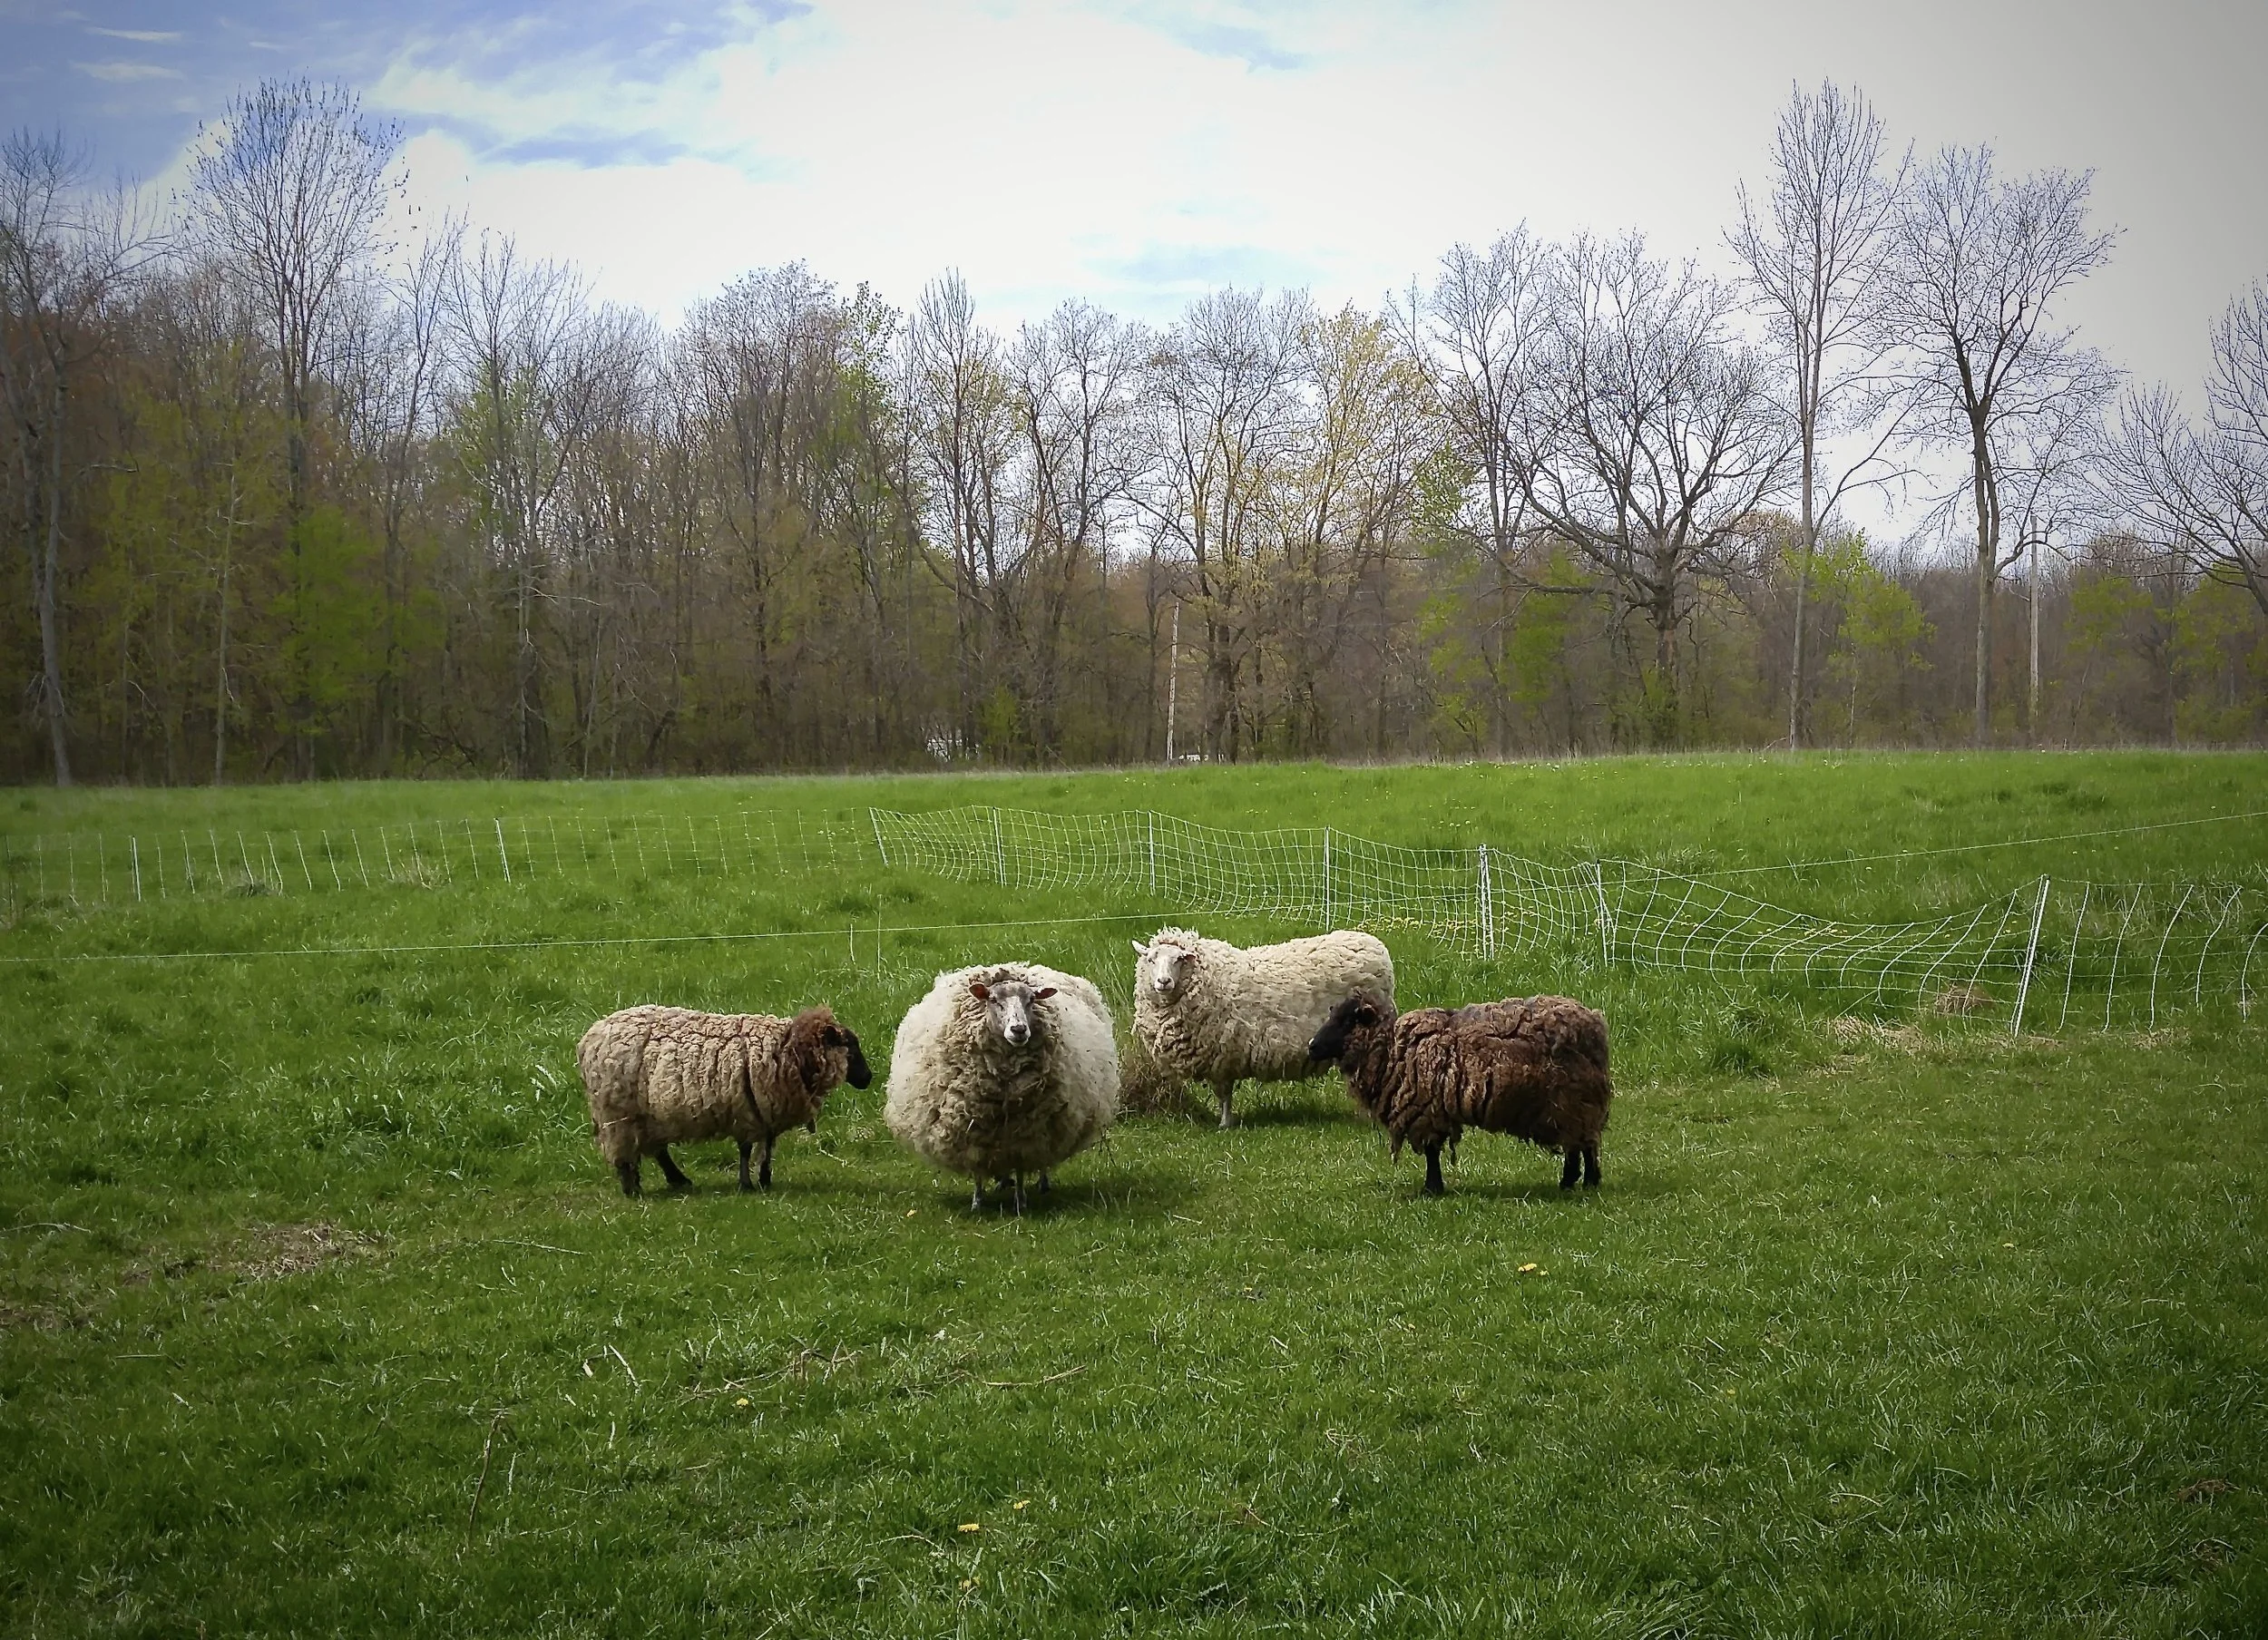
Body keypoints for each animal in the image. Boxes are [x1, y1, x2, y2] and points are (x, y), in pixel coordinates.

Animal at [578, 1004, 871, 1197]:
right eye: (851, 1048)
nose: (869, 1078)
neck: (789, 1051)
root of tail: (589, 1038)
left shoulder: (764, 1111)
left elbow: (768, 1146)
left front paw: (764, 1179)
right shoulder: (746, 1111)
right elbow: (746, 1149)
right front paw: (748, 1183)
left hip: (645, 1116)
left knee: (657, 1150)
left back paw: (676, 1180)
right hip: (618, 1114)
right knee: (626, 1154)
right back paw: (633, 1189)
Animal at [885, 963, 1118, 1211]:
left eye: (1031, 1000)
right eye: (994, 999)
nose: (1019, 1030)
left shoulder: (1025, 1135)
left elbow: (1021, 1168)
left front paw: (1021, 1203)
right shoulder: (971, 1132)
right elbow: (977, 1167)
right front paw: (977, 1202)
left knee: (1042, 1160)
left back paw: (1041, 1183)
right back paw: (1002, 1181)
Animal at [1131, 926, 1395, 1127]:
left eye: (1179, 959)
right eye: (1151, 959)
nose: (1163, 981)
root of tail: (1374, 943)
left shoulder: (1221, 1054)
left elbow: (1224, 1094)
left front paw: (1225, 1124)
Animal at [1308, 991, 1611, 1196]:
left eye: (1348, 1020)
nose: (1311, 1046)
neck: (1392, 1051)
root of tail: (1595, 1026)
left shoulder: (1426, 1112)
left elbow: (1432, 1153)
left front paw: (1431, 1189)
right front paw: (1434, 1187)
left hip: (1572, 1104)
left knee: (1581, 1147)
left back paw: (1579, 1183)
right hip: (1575, 1107)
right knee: (1582, 1145)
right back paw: (1579, 1183)